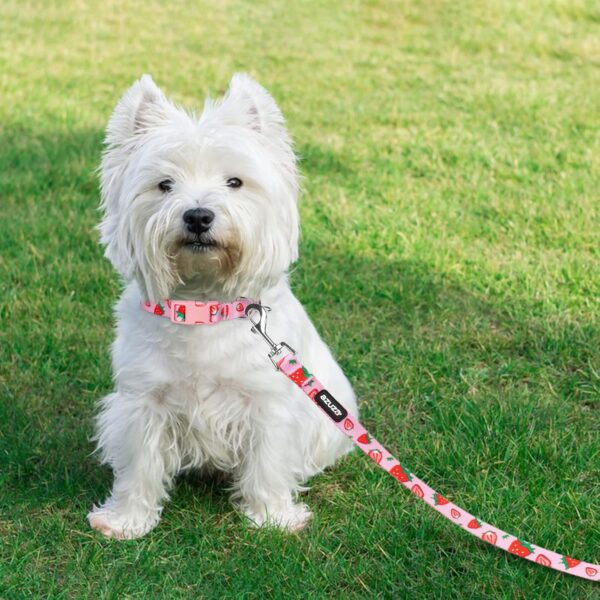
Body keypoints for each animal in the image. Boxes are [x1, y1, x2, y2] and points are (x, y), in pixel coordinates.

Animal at [87, 71, 358, 540]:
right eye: (164, 184)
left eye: (235, 182)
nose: (198, 216)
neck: (202, 306)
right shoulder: (143, 400)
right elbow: (139, 465)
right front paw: (126, 521)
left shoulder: (268, 403)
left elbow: (268, 463)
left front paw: (273, 517)